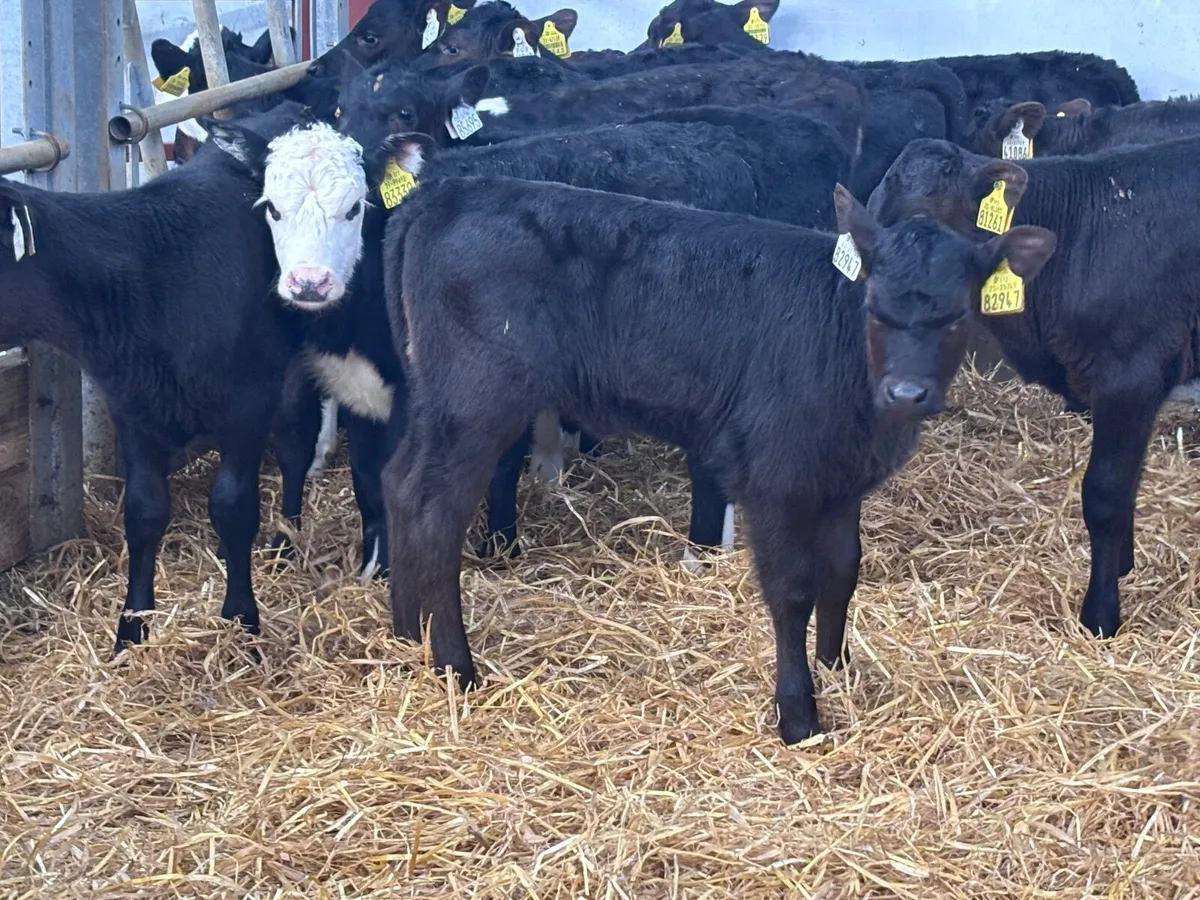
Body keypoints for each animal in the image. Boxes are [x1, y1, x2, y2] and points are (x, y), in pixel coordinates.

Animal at [0, 103, 313, 653]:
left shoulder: (247, 401)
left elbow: (234, 506)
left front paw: (241, 620)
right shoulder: (131, 406)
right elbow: (144, 513)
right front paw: (131, 628)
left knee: (297, 444)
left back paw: (286, 538)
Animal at [374, 175, 1055, 743]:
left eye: (958, 314)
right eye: (874, 308)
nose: (906, 393)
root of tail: (449, 189)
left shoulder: (839, 480)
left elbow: (843, 570)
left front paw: (839, 668)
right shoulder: (776, 477)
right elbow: (793, 588)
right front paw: (799, 716)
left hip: (437, 404)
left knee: (399, 483)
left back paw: (407, 633)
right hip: (477, 404)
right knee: (436, 513)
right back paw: (458, 668)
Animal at [867, 136, 1200, 641]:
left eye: (930, 217)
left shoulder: (1131, 375)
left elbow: (1106, 492)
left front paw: (1101, 614)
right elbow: (1129, 480)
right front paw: (1123, 566)